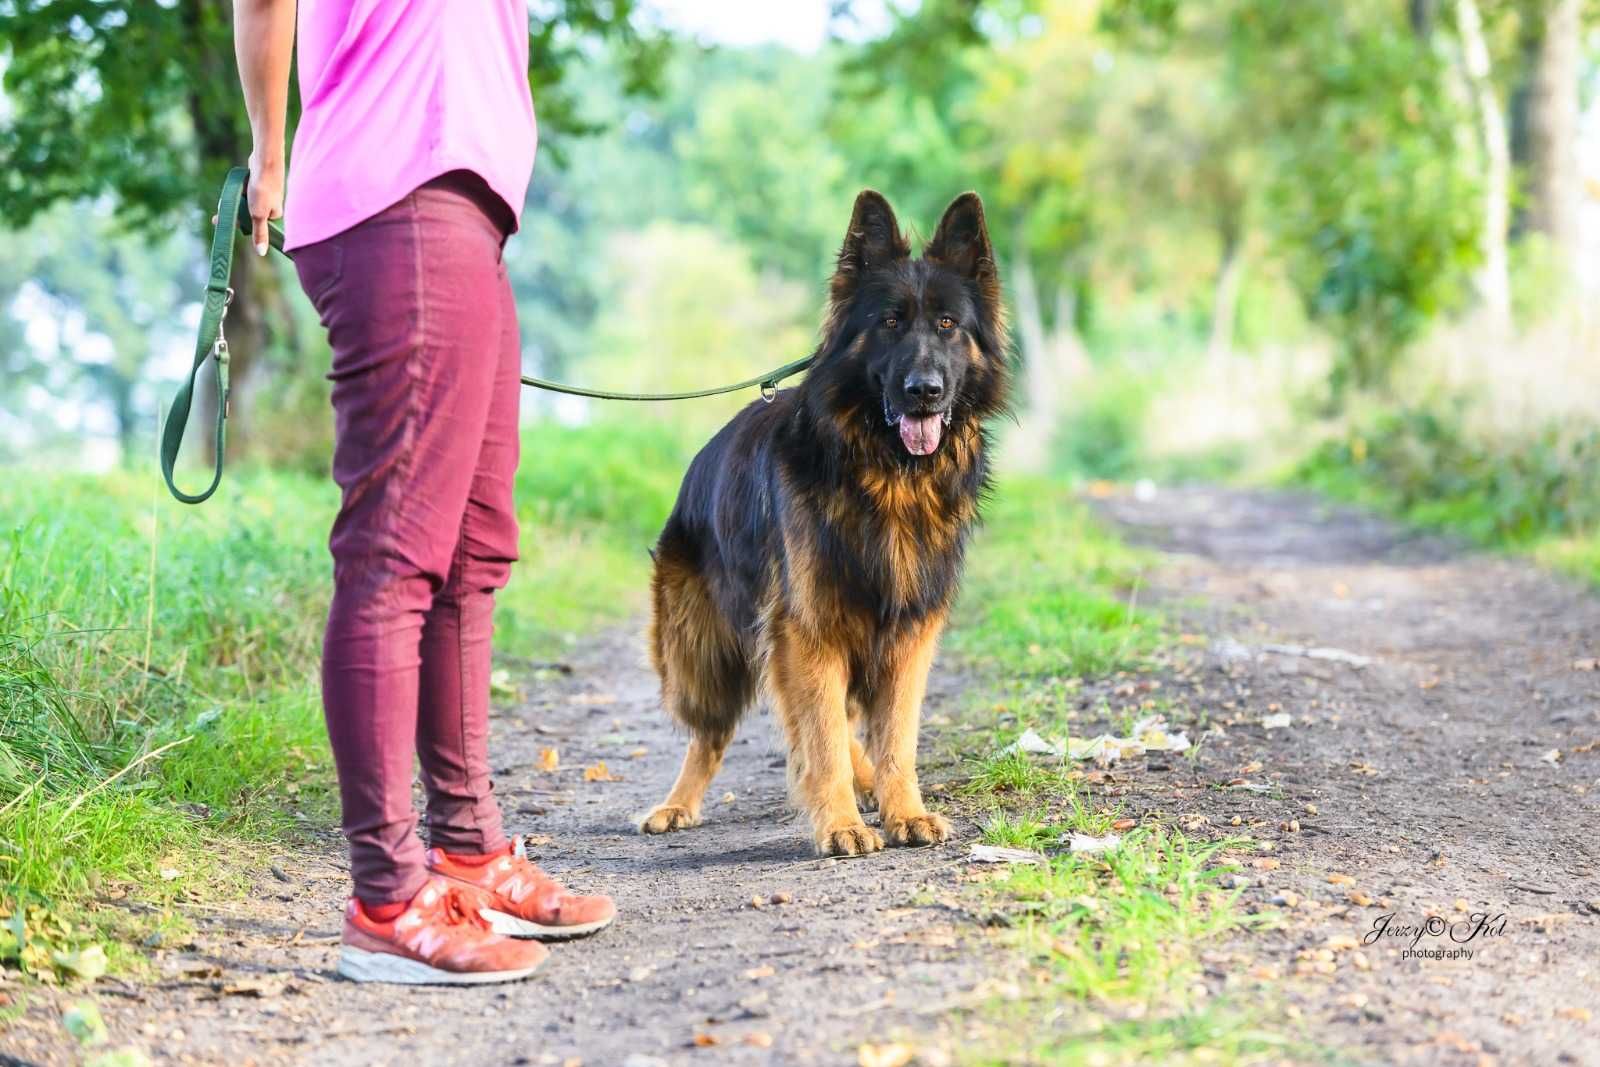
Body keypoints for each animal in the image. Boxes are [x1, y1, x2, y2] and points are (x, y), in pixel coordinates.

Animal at [640, 191, 1004, 857]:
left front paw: (903, 809)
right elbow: (823, 737)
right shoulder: (807, 629)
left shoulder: (909, 629)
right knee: (713, 733)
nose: (924, 391)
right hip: (698, 655)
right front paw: (839, 823)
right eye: (889, 322)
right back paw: (678, 804)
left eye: (947, 324)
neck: (887, 477)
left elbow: (895, 737)